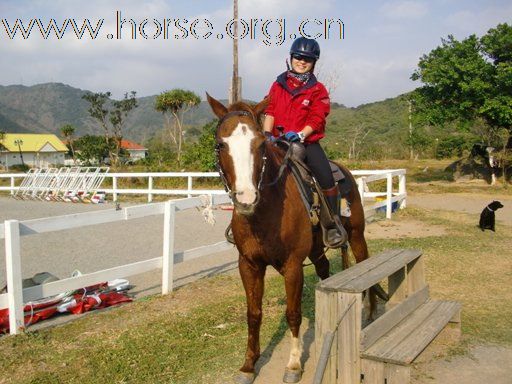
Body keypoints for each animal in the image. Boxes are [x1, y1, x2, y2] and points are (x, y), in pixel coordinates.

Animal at [208, 94, 376, 384]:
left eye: (260, 143)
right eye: (221, 144)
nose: (246, 199)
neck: (265, 212)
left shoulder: (293, 265)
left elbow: (293, 313)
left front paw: (294, 364)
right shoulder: (248, 265)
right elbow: (253, 314)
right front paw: (248, 365)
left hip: (356, 235)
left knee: (364, 261)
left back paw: (371, 311)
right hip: (317, 248)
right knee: (324, 271)